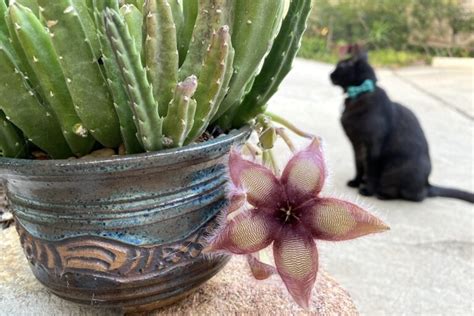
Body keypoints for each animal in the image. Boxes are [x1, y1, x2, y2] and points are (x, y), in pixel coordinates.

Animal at [330, 48, 474, 202]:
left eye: (341, 66)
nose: (330, 74)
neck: (360, 93)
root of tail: (427, 184)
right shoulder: (357, 146)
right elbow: (359, 166)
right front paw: (355, 182)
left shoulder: (372, 148)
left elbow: (371, 170)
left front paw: (367, 190)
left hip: (396, 173)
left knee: (413, 195)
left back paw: (382, 193)